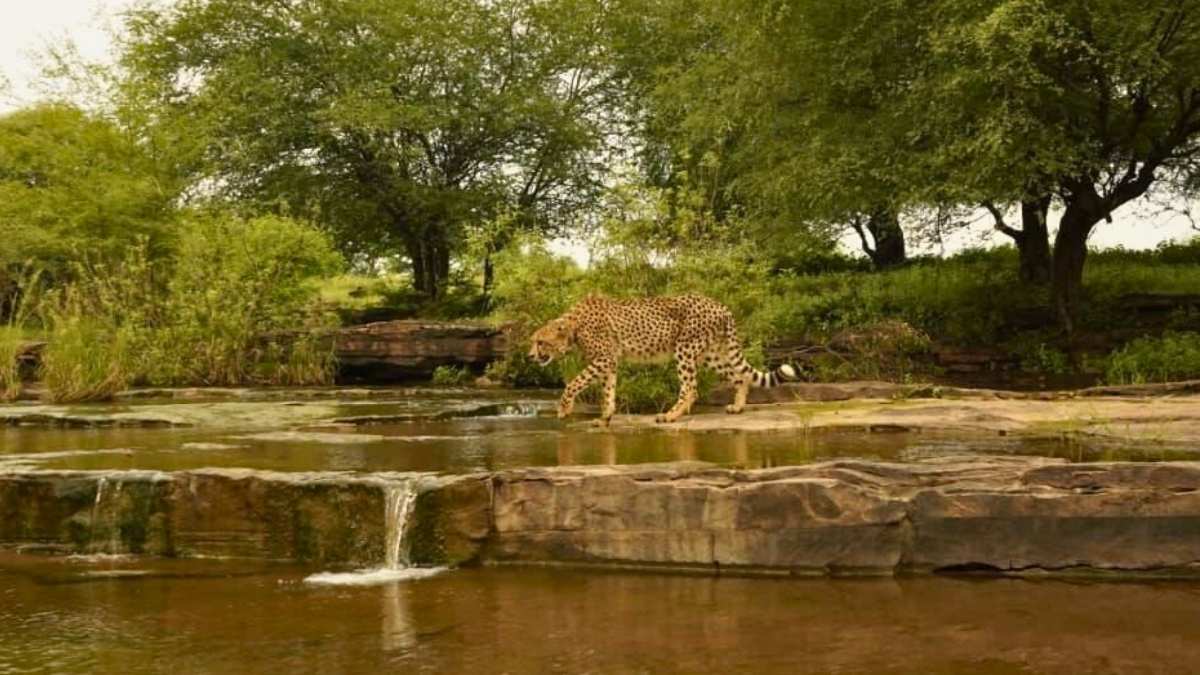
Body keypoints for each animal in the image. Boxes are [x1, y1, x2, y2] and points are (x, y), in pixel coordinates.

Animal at [528, 293, 798, 425]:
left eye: (540, 342)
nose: (530, 356)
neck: (573, 326)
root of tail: (720, 306)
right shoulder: (610, 362)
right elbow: (608, 391)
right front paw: (605, 417)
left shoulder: (603, 359)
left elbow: (574, 382)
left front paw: (564, 409)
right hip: (710, 354)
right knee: (740, 377)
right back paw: (738, 407)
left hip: (685, 348)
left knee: (690, 388)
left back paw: (669, 416)